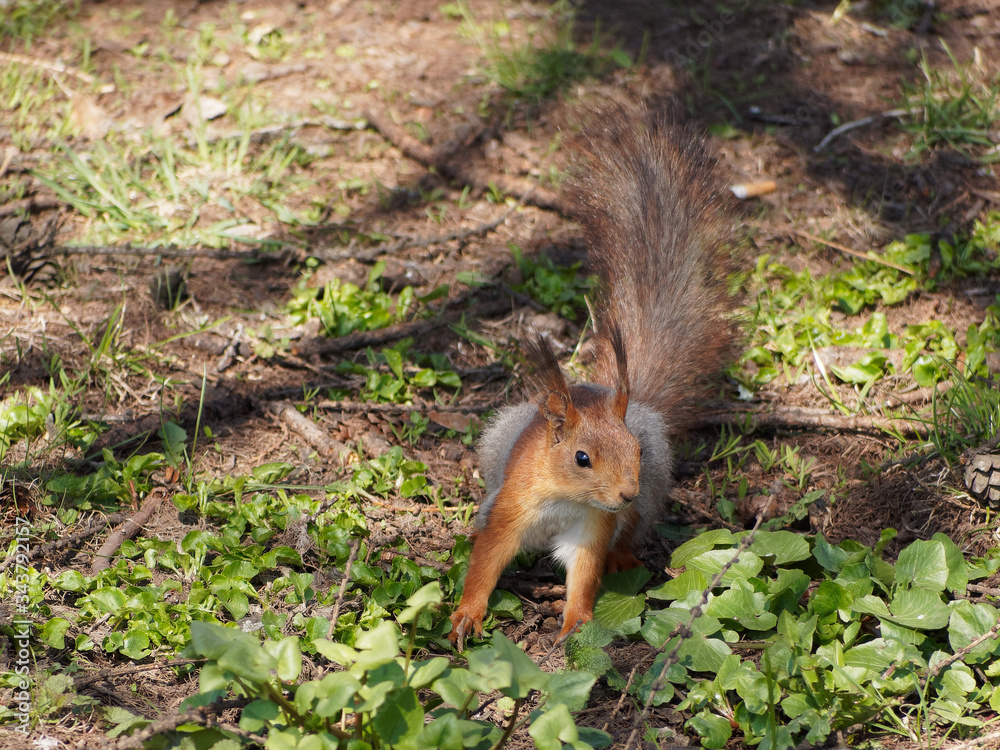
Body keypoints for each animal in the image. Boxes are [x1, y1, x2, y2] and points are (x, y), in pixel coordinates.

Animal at [449, 104, 742, 648]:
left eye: (637, 451)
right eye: (581, 458)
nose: (625, 492)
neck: (566, 498)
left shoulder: (593, 527)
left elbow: (584, 571)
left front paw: (578, 623)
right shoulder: (510, 508)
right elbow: (487, 559)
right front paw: (467, 614)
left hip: (650, 497)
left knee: (631, 533)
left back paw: (625, 556)